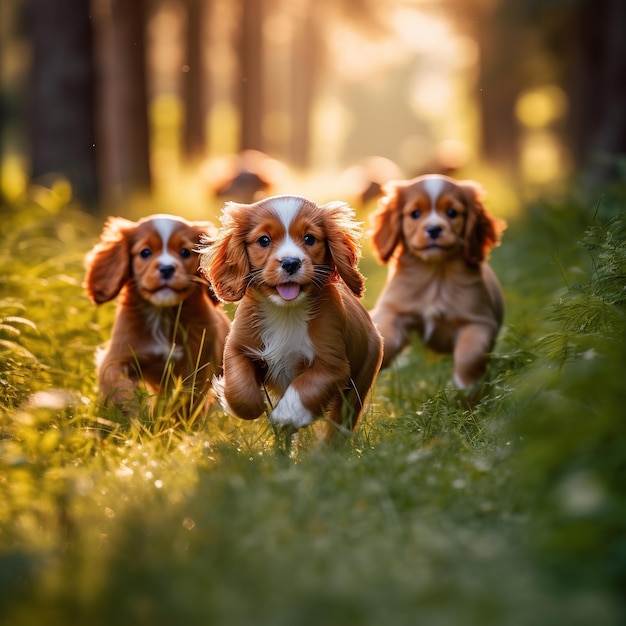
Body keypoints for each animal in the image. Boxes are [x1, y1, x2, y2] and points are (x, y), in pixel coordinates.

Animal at [83, 214, 229, 410]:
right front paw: (131, 410)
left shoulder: (195, 365)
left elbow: (184, 400)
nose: (167, 269)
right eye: (145, 252)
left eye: (185, 252)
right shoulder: (117, 357)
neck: (162, 315)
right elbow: (118, 384)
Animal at [200, 194, 382, 438]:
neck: (285, 311)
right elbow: (240, 386)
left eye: (309, 238)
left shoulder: (332, 364)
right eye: (264, 240)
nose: (290, 262)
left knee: (340, 424)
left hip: (358, 385)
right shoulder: (237, 347)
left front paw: (287, 415)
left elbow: (305, 387)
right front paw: (249, 403)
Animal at [368, 173, 504, 388]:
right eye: (415, 214)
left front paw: (465, 387)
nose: (433, 229)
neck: (435, 275)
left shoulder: (479, 322)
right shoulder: (393, 311)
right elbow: (385, 336)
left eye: (452, 212)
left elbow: (469, 355)